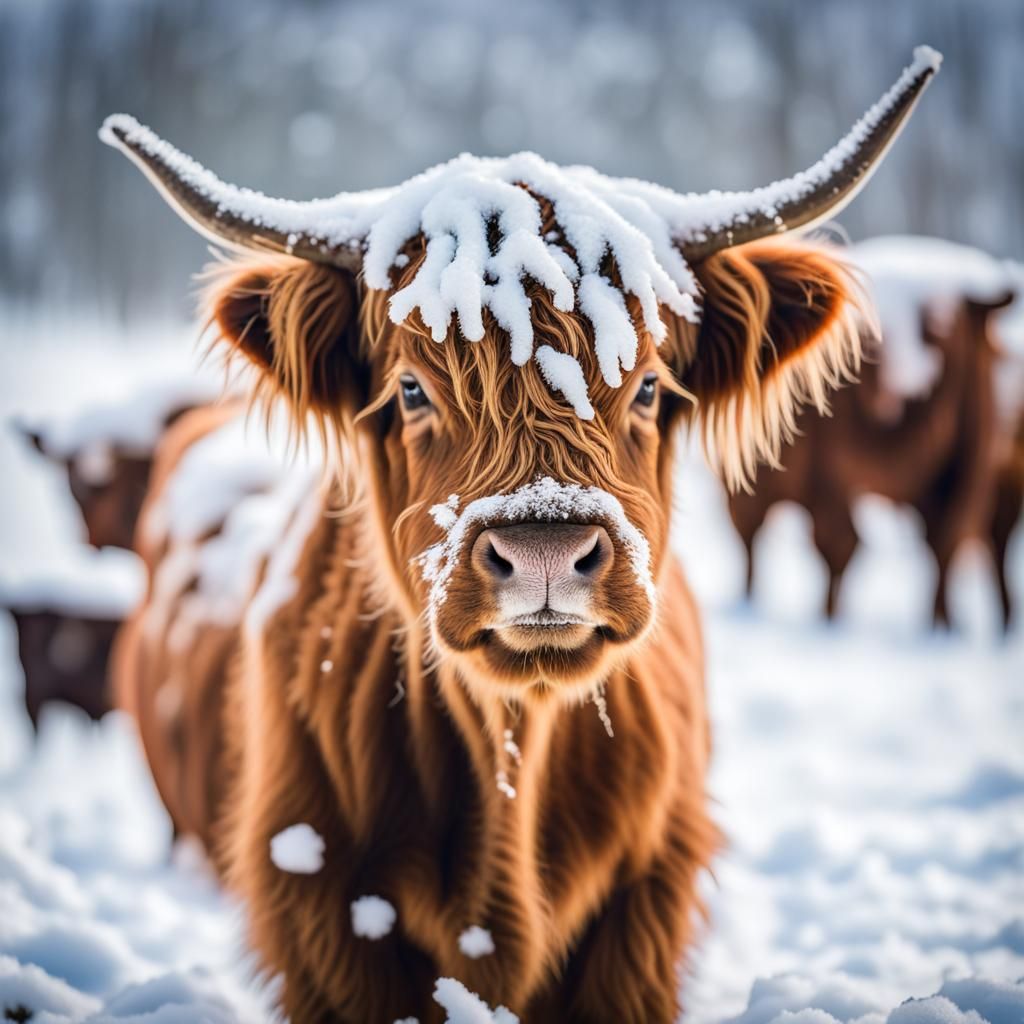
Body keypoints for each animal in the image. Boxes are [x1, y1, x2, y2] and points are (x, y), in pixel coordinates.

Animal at [729, 236, 1022, 627]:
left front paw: (940, 628)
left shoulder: (966, 476)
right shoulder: (819, 476)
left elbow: (940, 546)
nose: (898, 384)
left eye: (940, 332)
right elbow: (831, 544)